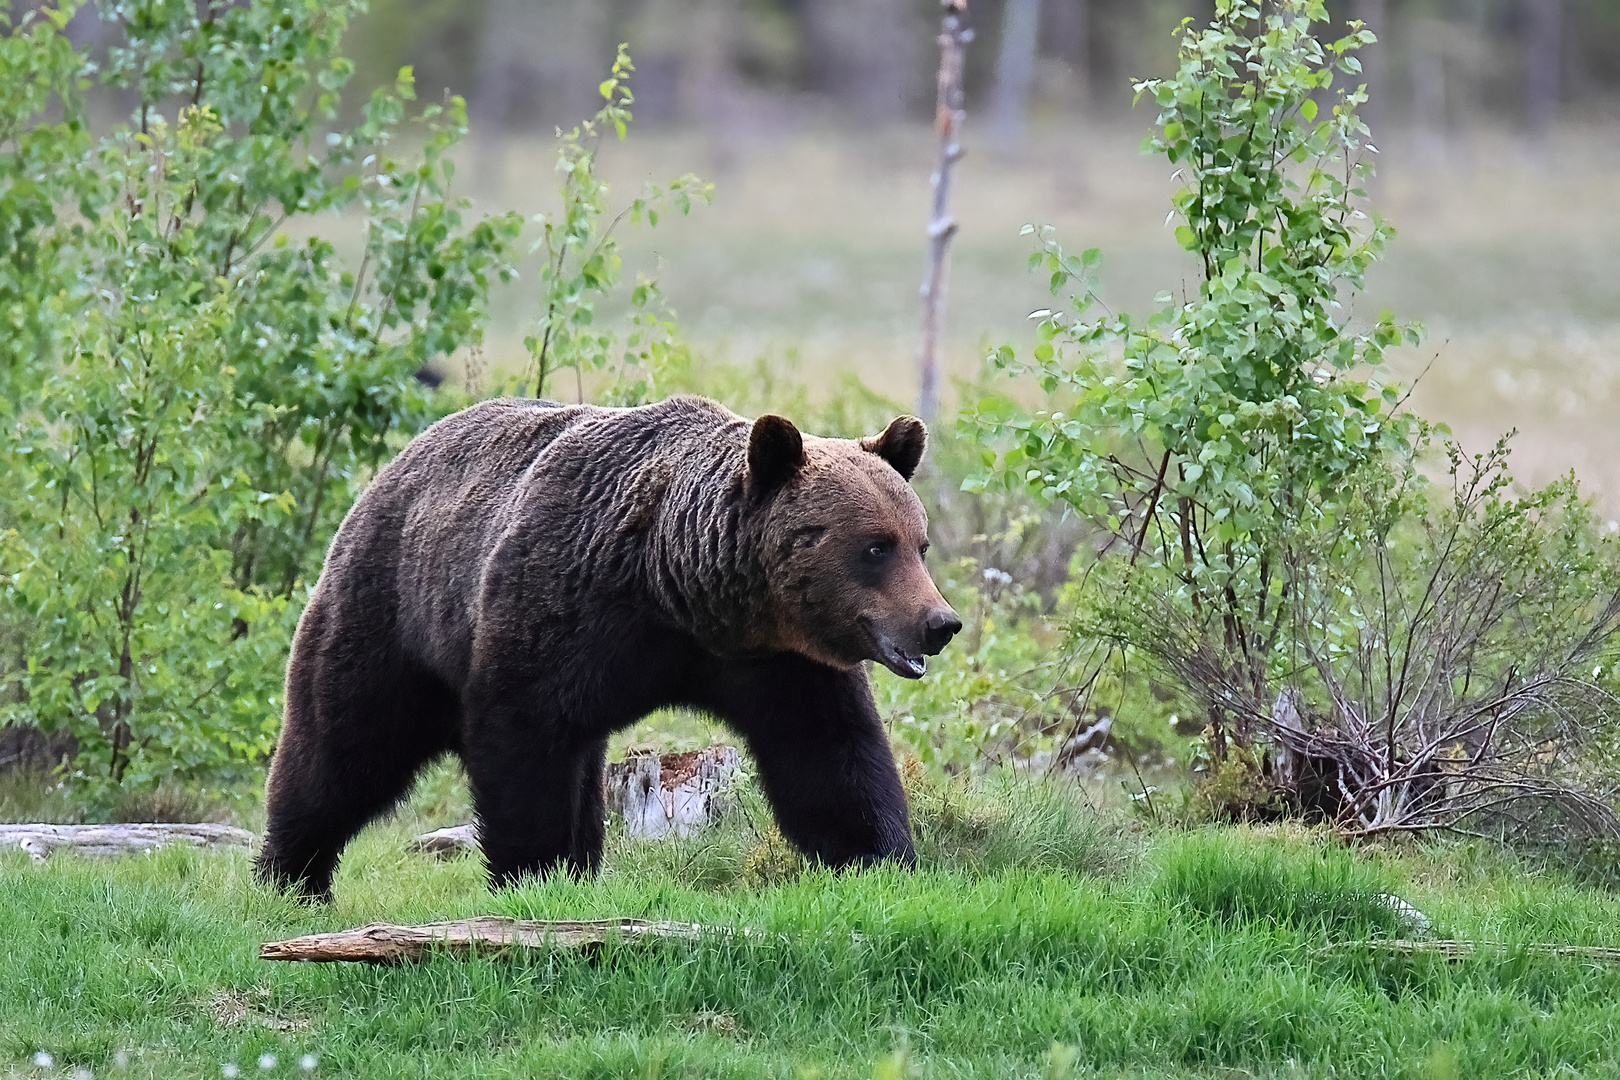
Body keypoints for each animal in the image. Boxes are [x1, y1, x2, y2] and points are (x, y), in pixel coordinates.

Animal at [255, 393, 959, 900]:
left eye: (918, 543)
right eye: (875, 547)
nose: (939, 623)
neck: (682, 590)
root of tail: (392, 469)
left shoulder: (776, 662)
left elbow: (829, 755)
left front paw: (876, 855)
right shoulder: (566, 611)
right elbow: (522, 740)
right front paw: (530, 873)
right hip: (394, 619)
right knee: (342, 745)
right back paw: (292, 877)